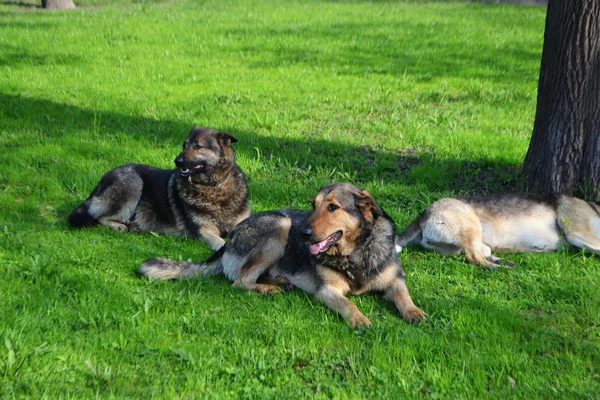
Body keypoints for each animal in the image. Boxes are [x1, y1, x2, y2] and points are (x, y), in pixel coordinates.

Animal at [68, 126, 251, 250]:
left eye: (197, 146)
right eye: (184, 145)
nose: (177, 161)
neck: (213, 187)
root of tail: (102, 180)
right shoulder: (204, 230)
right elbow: (220, 242)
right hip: (133, 182)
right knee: (99, 216)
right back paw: (120, 226)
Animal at [139, 183, 426, 330]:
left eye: (332, 207)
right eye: (313, 205)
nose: (305, 234)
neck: (356, 250)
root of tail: (229, 239)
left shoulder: (395, 280)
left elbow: (403, 296)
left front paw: (415, 312)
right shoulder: (327, 291)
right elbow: (348, 304)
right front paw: (359, 319)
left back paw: (281, 282)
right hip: (280, 224)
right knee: (240, 281)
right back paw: (269, 288)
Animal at [394, 192, 600, 268]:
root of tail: (425, 212)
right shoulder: (579, 235)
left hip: (470, 243)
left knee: (478, 254)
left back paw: (501, 261)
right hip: (471, 227)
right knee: (474, 258)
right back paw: (498, 267)